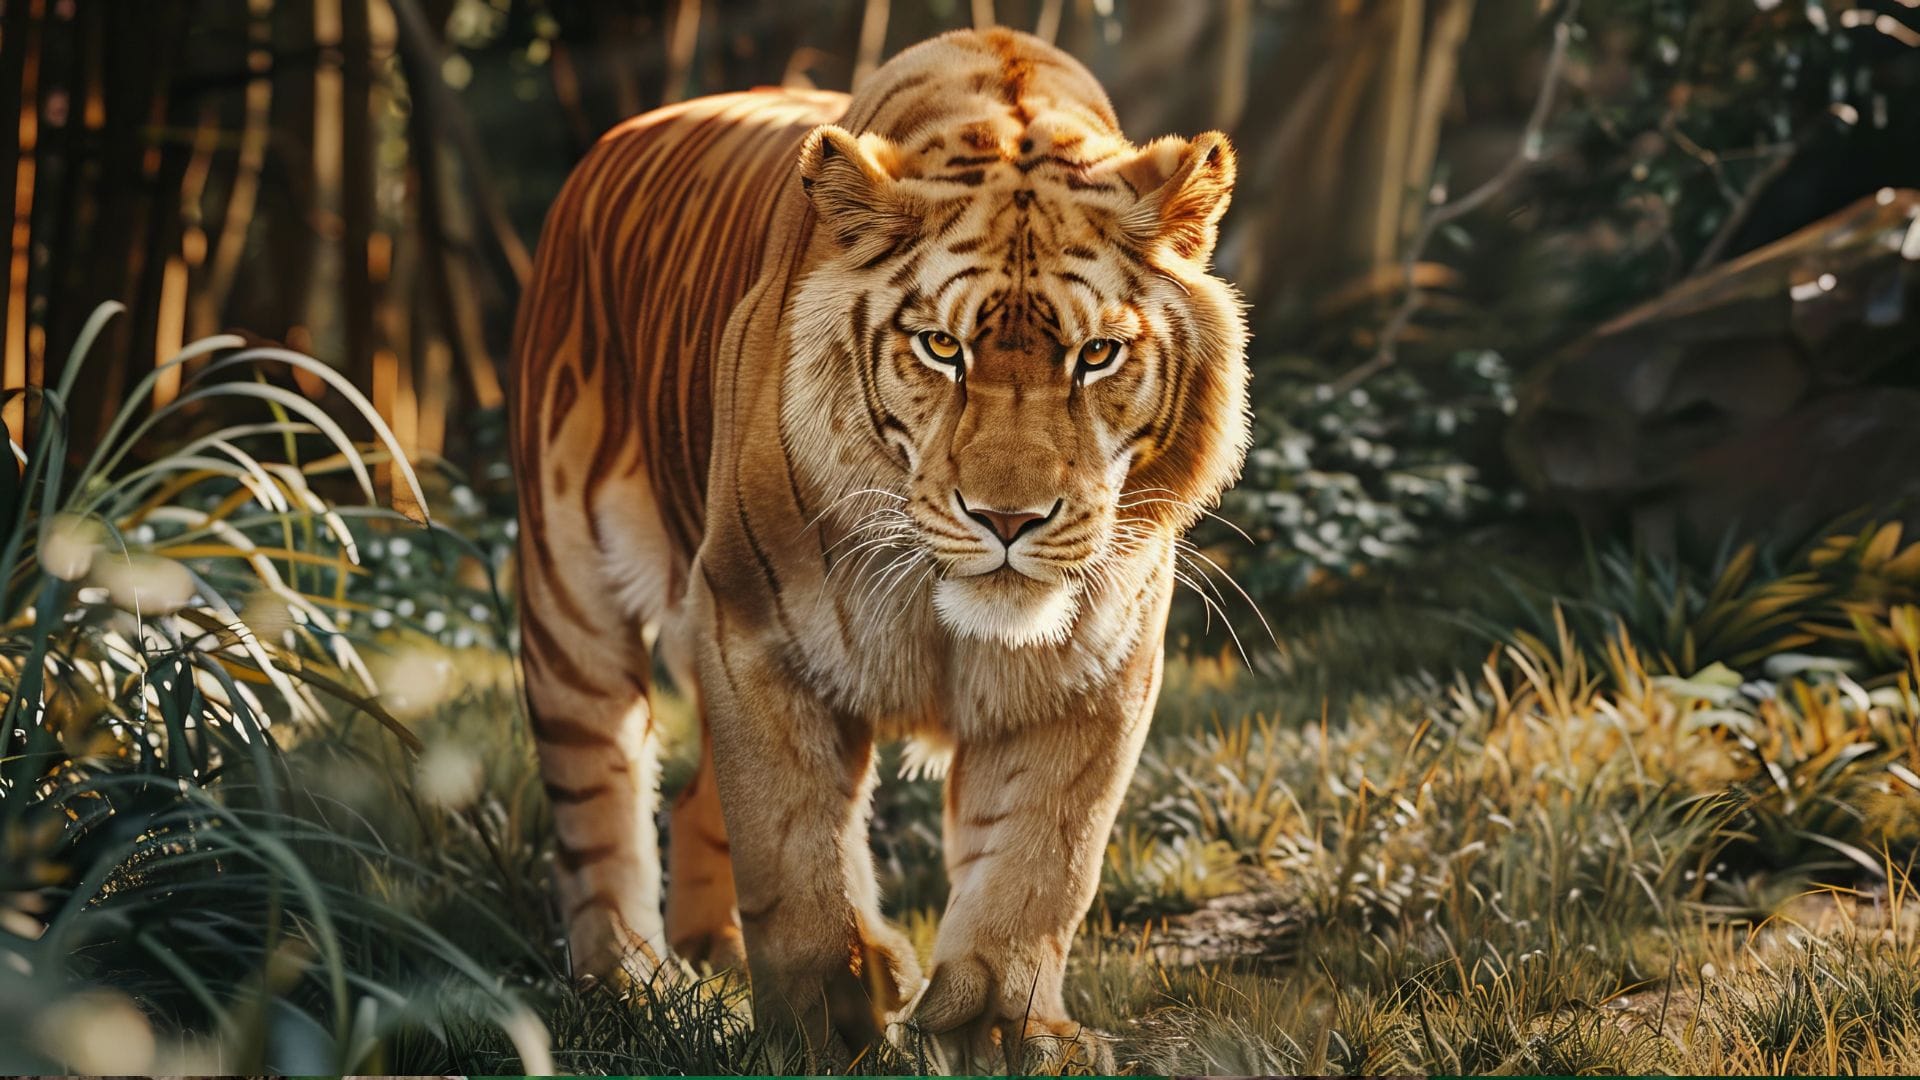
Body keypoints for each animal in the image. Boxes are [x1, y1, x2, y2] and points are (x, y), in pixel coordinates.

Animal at [509, 26, 1248, 1071]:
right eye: (941, 348)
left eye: (1097, 355)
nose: (1008, 520)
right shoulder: (752, 634)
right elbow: (792, 860)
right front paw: (828, 1029)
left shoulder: (1099, 674)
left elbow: (1039, 866)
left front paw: (1004, 1029)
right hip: (568, 596)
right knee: (596, 799)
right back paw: (627, 989)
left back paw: (709, 957)